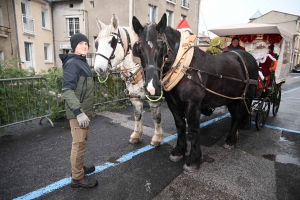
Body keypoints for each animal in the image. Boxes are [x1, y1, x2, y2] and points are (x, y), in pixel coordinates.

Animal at [94, 13, 163, 145]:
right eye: (96, 43)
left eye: (112, 42)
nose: (98, 69)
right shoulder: (135, 98)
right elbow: (137, 115)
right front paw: (137, 134)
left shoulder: (154, 97)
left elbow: (156, 117)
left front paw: (157, 137)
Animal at [132, 14, 258, 172]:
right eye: (139, 48)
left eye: (161, 47)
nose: (152, 87)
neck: (184, 67)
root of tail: (248, 57)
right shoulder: (173, 104)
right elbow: (180, 126)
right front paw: (179, 151)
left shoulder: (193, 105)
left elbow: (193, 129)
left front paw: (193, 159)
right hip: (231, 98)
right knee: (235, 115)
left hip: (243, 97)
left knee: (238, 116)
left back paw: (230, 140)